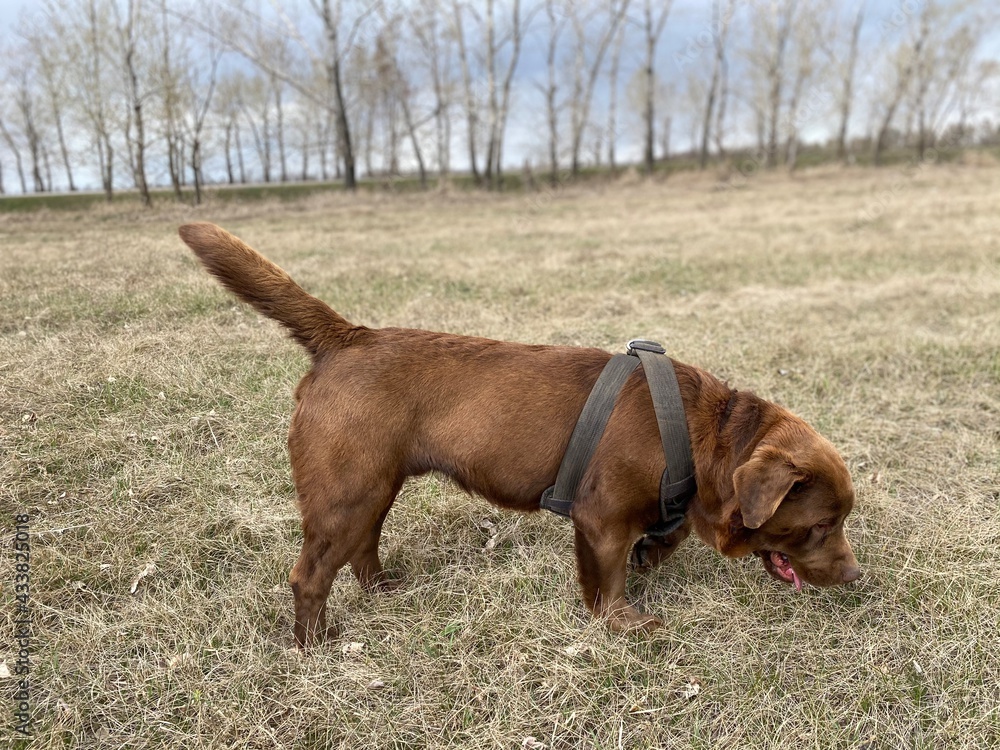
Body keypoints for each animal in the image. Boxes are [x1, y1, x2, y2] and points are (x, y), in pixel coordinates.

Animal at [178, 222, 860, 648]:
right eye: (821, 524)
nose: (856, 577)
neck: (706, 434)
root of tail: (345, 337)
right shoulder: (600, 516)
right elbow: (609, 577)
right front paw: (624, 623)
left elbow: (662, 539)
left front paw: (652, 558)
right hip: (345, 493)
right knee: (310, 575)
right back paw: (315, 645)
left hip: (374, 487)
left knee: (364, 546)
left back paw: (381, 589)